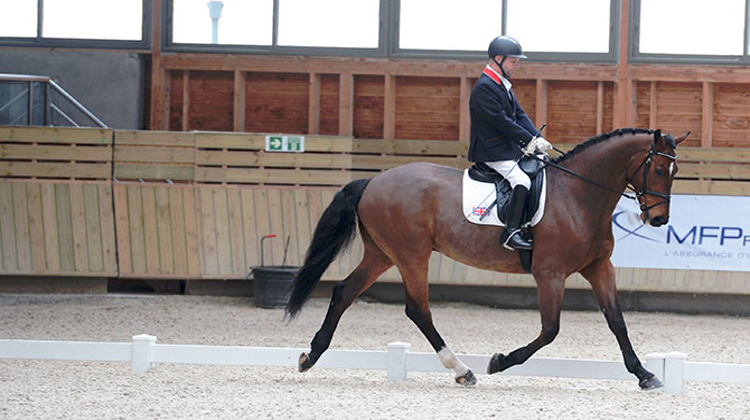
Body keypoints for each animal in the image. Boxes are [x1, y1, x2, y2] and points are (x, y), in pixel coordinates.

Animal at [288, 128, 692, 390]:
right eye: (659, 169)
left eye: (675, 172)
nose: (658, 220)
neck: (578, 195)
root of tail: (372, 181)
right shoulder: (550, 273)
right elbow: (550, 330)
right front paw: (500, 362)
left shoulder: (598, 267)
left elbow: (617, 322)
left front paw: (645, 375)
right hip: (410, 254)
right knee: (418, 309)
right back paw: (462, 370)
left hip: (381, 254)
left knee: (344, 292)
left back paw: (311, 355)